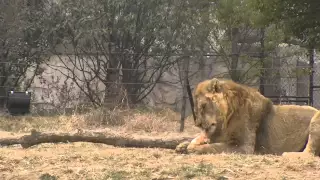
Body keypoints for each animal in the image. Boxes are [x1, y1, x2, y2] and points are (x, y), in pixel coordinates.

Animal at [175, 78, 320, 157]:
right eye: (195, 108)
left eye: (203, 106)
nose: (198, 124)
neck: (224, 122)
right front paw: (182, 145)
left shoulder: (244, 146)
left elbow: (213, 147)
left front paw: (194, 149)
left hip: (316, 119)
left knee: (309, 153)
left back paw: (287, 154)